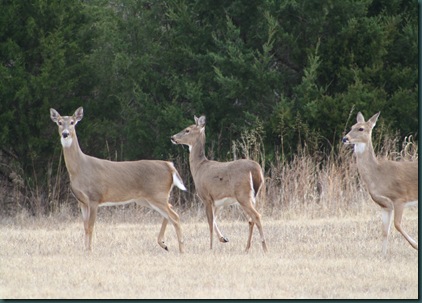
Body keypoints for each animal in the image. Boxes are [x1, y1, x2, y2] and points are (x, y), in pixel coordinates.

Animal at [50, 107, 185, 254]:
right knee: (170, 210)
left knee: (175, 217)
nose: (65, 134)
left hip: (157, 194)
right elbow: (85, 227)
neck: (79, 168)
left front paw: (90, 250)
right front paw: (85, 250)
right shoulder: (82, 202)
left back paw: (181, 249)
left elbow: (90, 226)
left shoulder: (94, 197)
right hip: (146, 199)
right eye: (59, 122)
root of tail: (169, 165)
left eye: (72, 122)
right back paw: (164, 244)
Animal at [171, 115, 268, 253]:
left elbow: (210, 222)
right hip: (256, 195)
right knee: (251, 220)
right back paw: (246, 248)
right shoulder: (217, 202)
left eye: (187, 130)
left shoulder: (206, 197)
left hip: (243, 195)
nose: (172, 137)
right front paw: (223, 239)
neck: (199, 167)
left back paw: (265, 247)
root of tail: (256, 170)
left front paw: (210, 247)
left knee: (257, 216)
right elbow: (215, 220)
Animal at [342, 111, 418, 254]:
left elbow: (397, 225)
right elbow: (384, 231)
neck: (378, 175)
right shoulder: (385, 205)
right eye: (352, 126)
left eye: (361, 128)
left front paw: (416, 245)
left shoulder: (400, 198)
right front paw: (383, 254)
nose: (345, 138)